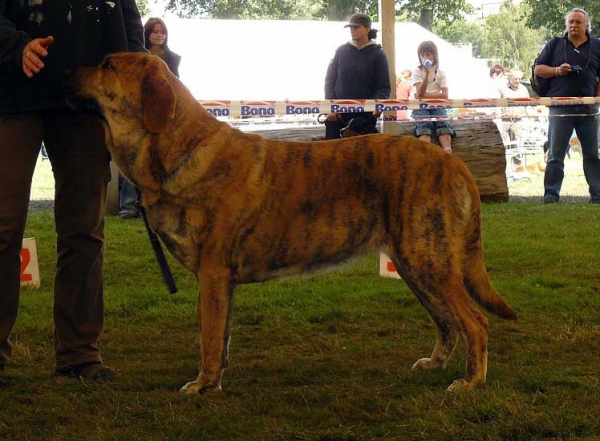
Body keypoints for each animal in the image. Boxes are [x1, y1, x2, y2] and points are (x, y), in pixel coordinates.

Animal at [67, 53, 516, 394]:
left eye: (107, 64)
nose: (68, 67)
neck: (178, 149)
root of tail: (453, 162)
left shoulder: (212, 273)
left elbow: (209, 336)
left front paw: (201, 386)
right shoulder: (220, 282)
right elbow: (220, 335)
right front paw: (216, 378)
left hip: (428, 261)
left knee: (473, 322)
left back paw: (470, 383)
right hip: (415, 265)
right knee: (447, 322)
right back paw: (436, 364)